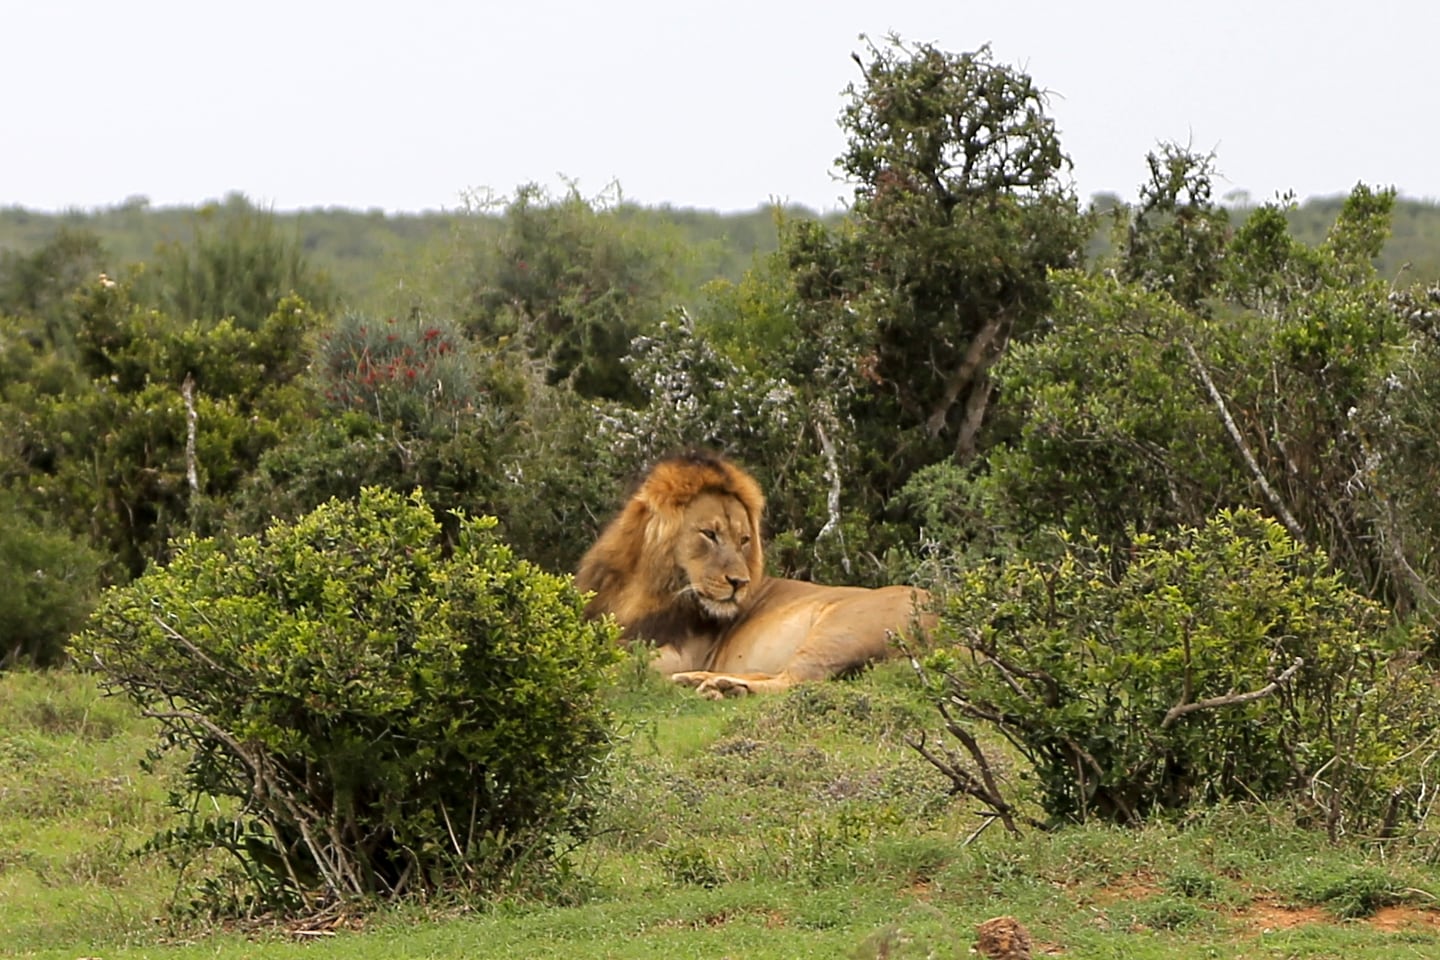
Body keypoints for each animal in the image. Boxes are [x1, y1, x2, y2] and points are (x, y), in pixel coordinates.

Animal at [573, 451, 933, 699]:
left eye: (744, 540)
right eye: (710, 534)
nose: (739, 583)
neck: (641, 592)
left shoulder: (676, 654)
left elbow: (610, 667)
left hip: (840, 628)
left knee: (795, 681)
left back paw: (720, 685)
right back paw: (705, 682)